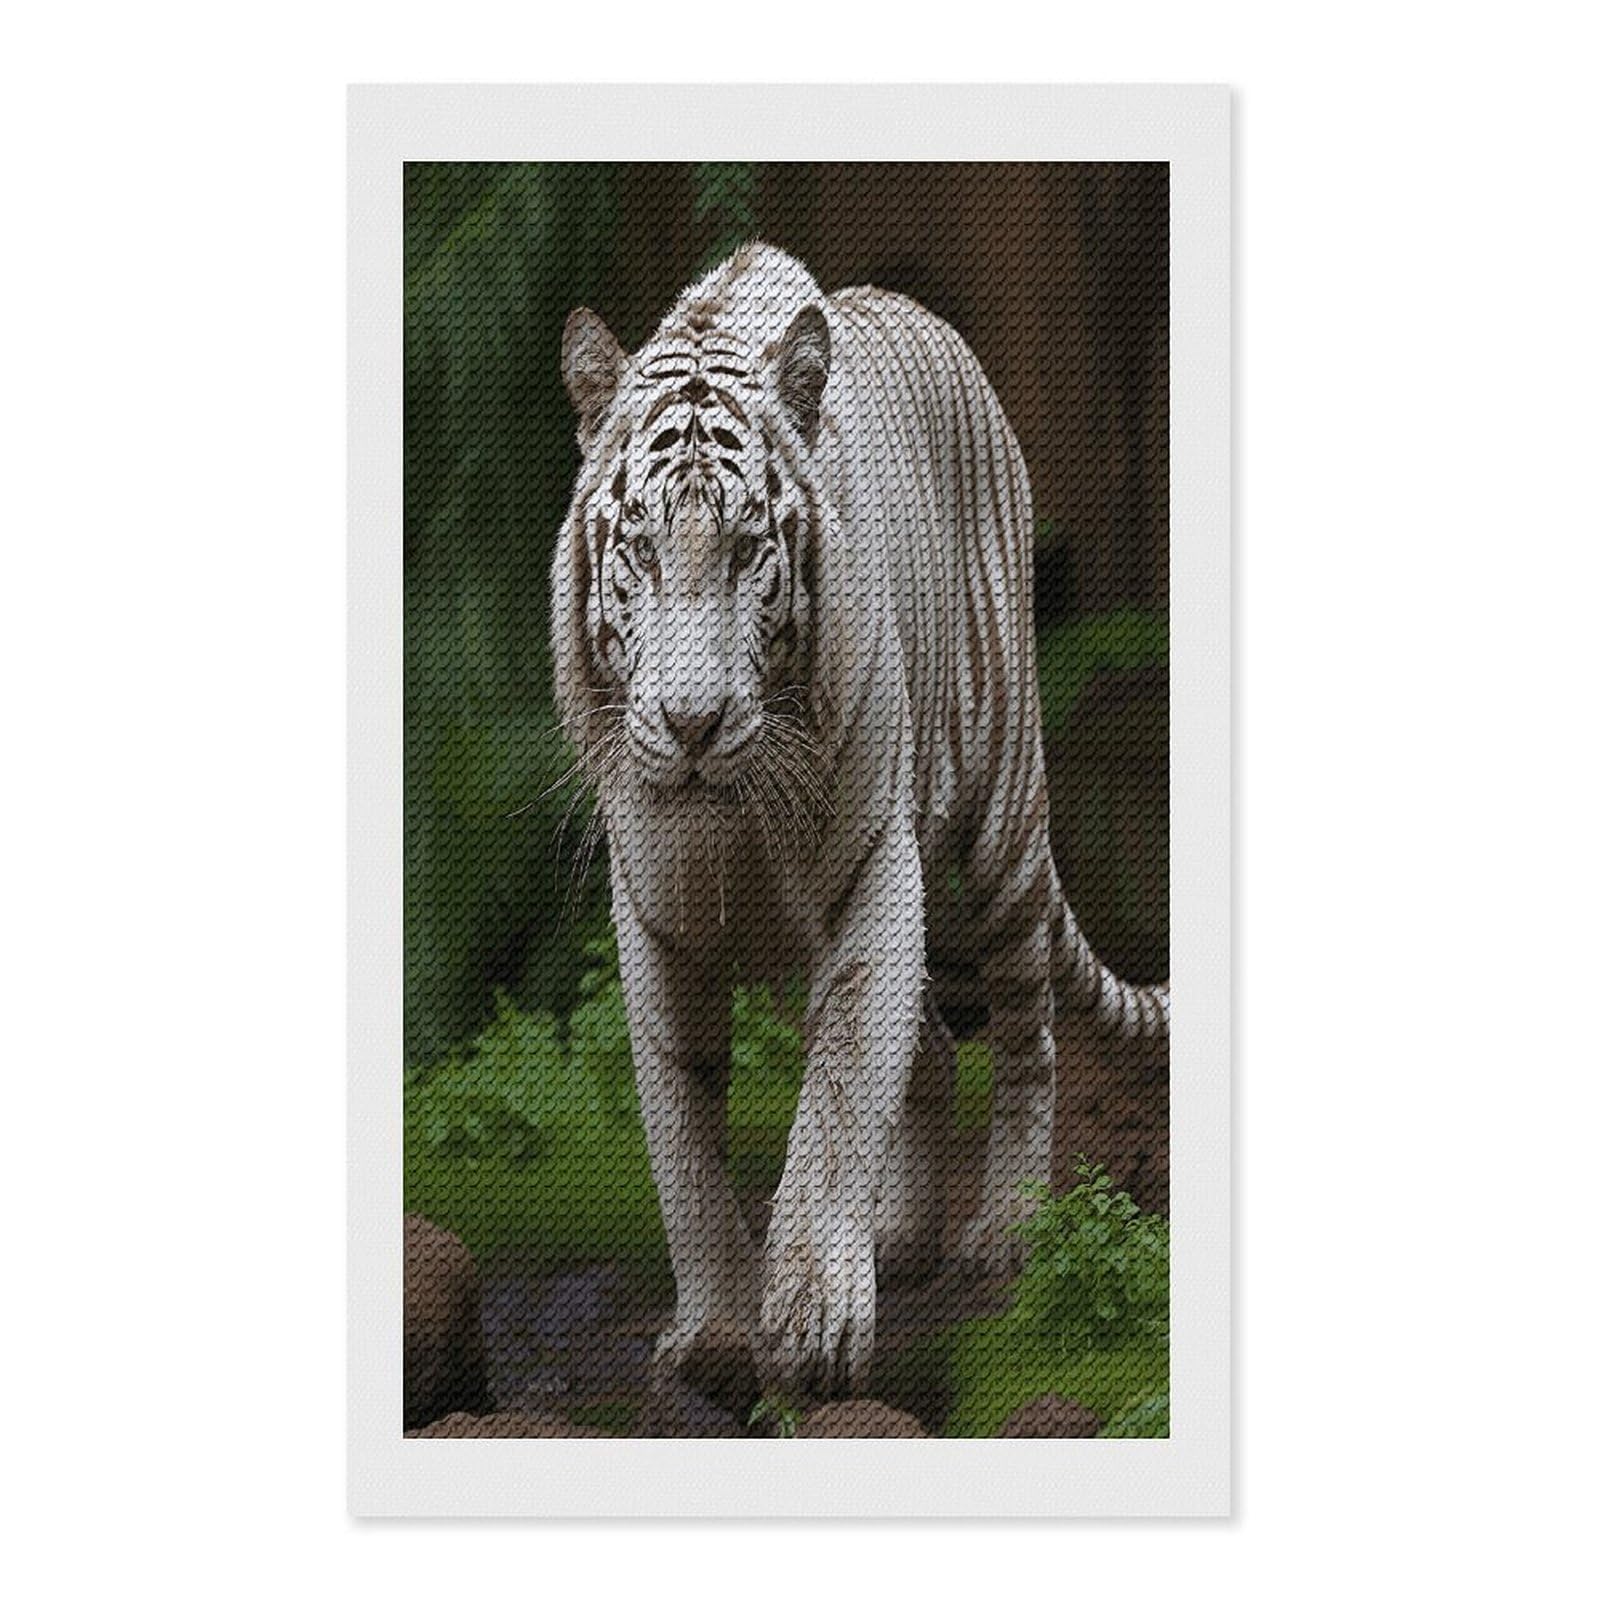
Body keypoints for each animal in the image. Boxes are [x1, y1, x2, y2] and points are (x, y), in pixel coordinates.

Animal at [551, 243, 1168, 1398]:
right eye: (643, 550)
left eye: (748, 547)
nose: (692, 723)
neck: (732, 822)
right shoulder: (655, 914)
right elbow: (682, 1129)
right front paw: (715, 1331)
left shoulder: (872, 868)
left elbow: (837, 1099)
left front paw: (813, 1325)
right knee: (931, 1046)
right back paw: (902, 1234)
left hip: (999, 827)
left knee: (1023, 1032)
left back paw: (1006, 1230)